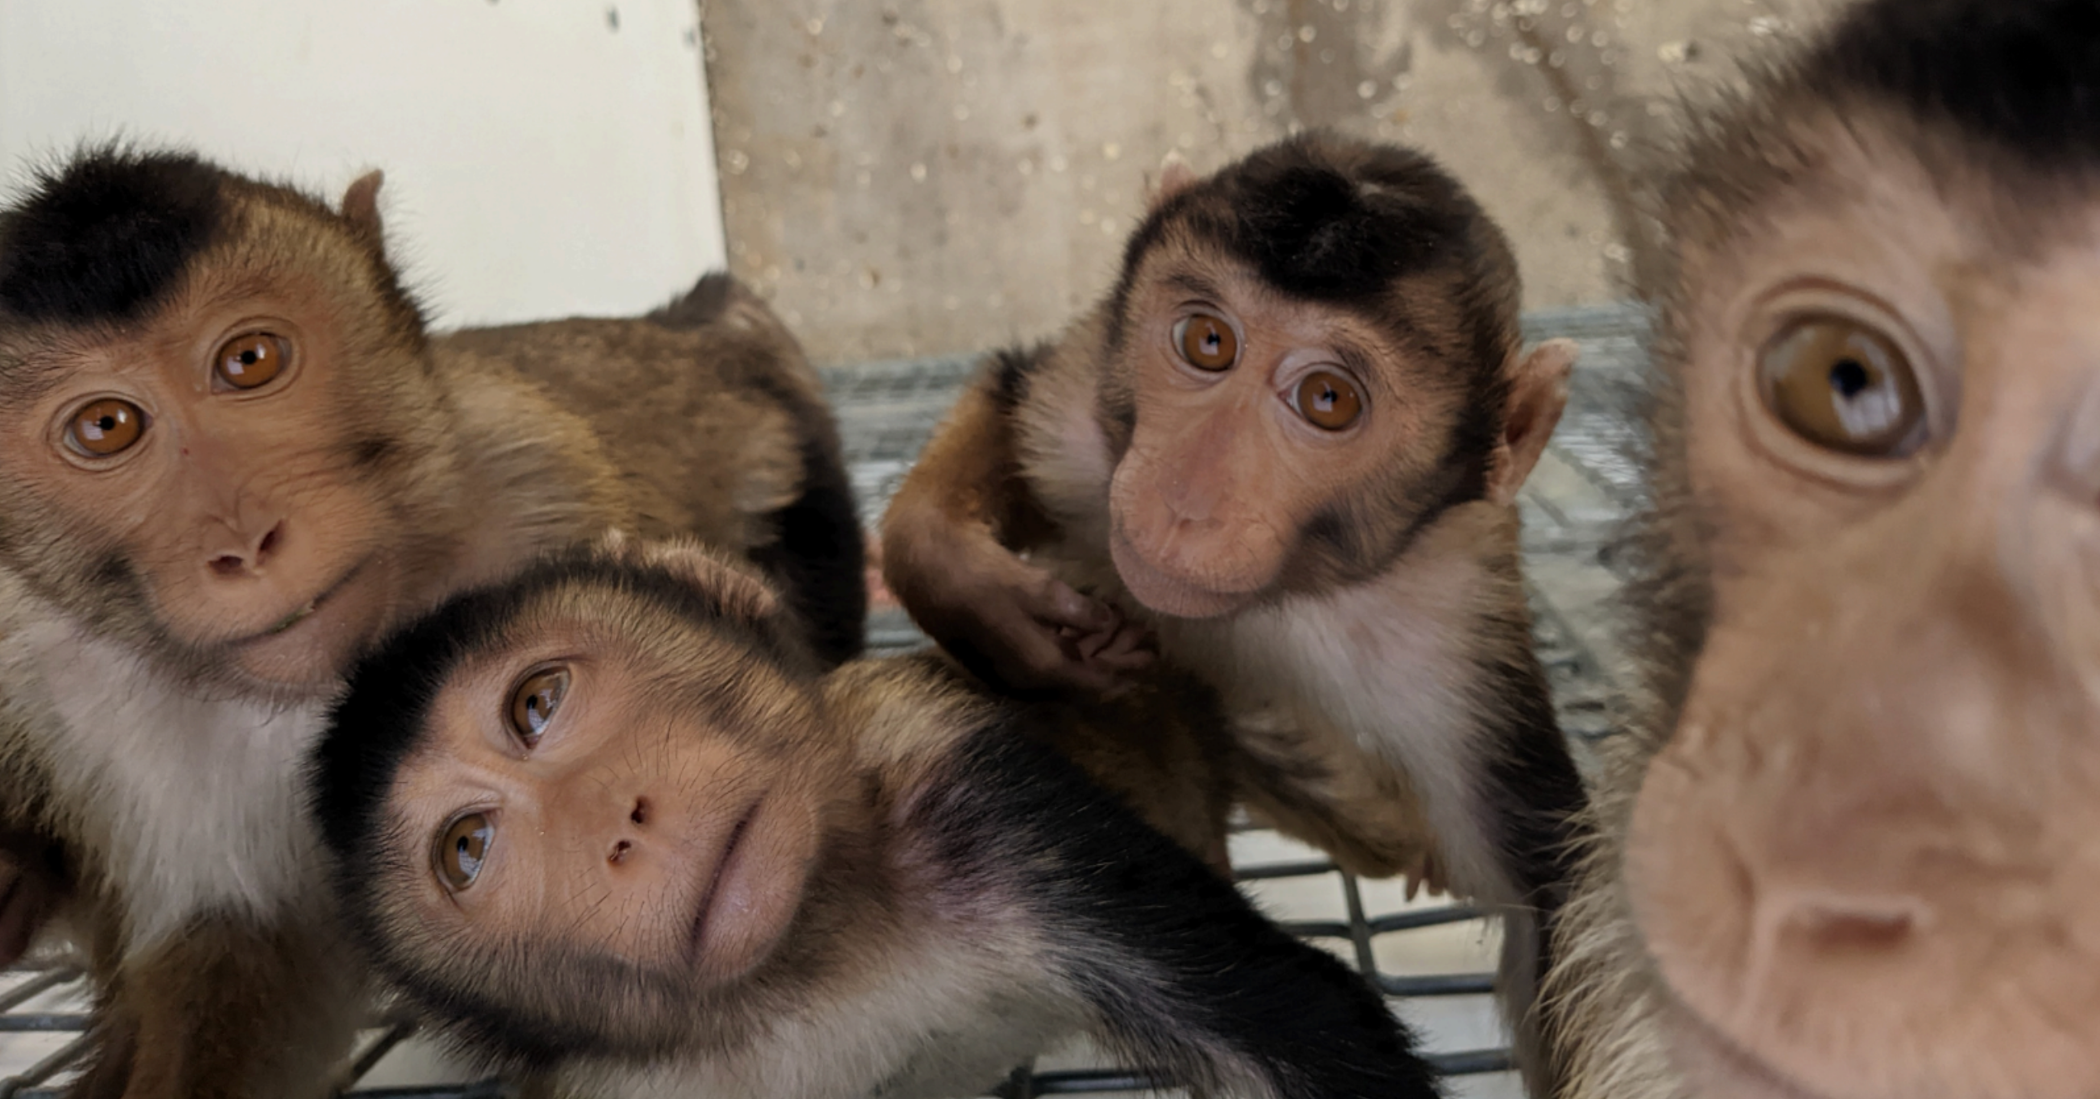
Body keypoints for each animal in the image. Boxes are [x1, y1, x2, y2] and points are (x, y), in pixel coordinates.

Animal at [0, 146, 864, 1097]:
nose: (245, 538)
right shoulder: (67, 692)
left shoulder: (541, 483)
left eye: (250, 359)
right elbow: (235, 949)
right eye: (105, 426)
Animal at [879, 131, 1586, 1093]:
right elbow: (1012, 395)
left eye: (1328, 399)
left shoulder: (1457, 637)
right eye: (1207, 342)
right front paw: (984, 606)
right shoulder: (1082, 412)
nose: (1188, 500)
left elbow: (1547, 901)